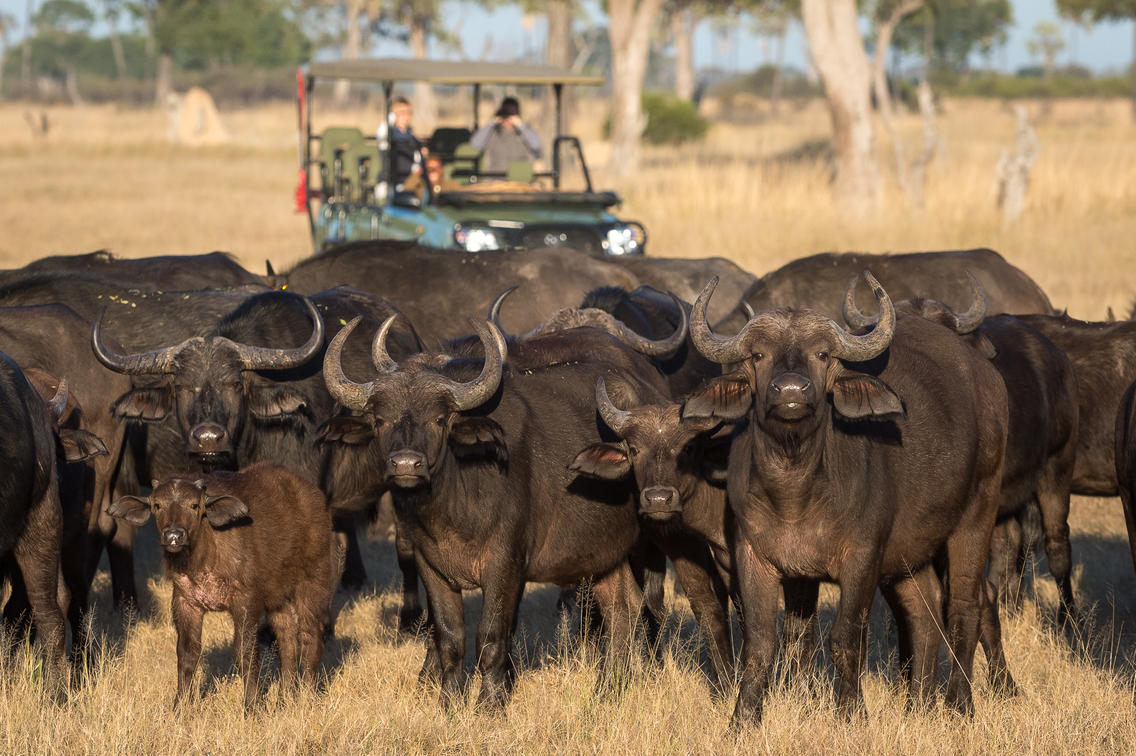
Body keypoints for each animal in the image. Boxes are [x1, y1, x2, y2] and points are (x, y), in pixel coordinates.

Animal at [107, 459, 331, 709]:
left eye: (195, 505)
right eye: (157, 505)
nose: (174, 536)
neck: (204, 555)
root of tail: (314, 497)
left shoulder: (246, 600)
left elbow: (245, 652)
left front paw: (252, 706)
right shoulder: (185, 602)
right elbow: (187, 654)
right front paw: (179, 706)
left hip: (314, 579)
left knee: (310, 635)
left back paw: (307, 697)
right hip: (278, 596)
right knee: (287, 638)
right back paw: (284, 699)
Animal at [686, 273, 1008, 723]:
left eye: (822, 354)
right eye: (757, 354)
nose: (790, 390)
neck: (795, 491)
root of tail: (987, 377)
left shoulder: (863, 557)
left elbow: (845, 636)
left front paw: (851, 713)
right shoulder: (756, 556)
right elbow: (763, 641)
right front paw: (743, 719)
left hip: (977, 513)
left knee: (966, 606)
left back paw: (959, 704)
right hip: (909, 552)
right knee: (924, 611)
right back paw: (918, 704)